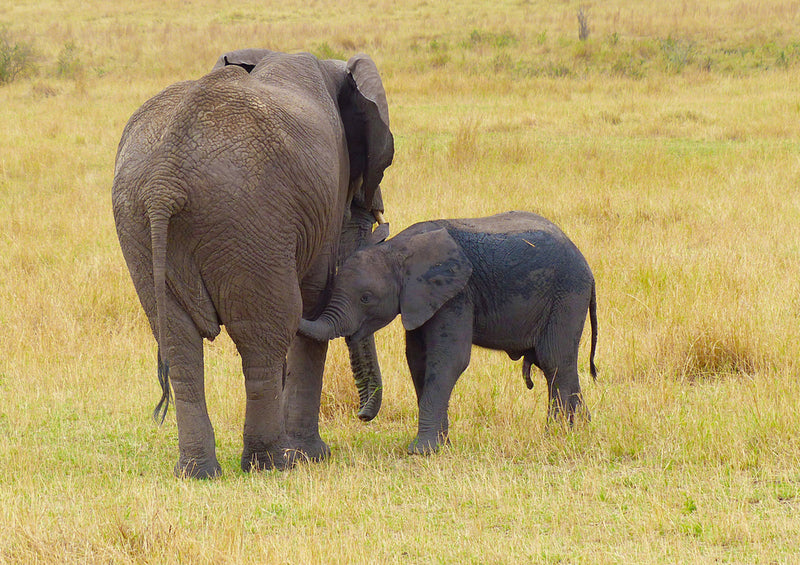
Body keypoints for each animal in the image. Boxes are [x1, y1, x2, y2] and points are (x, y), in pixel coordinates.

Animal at [112, 48, 394, 476]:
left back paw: (198, 472)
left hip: (141, 225)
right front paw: (311, 455)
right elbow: (312, 304)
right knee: (265, 333)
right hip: (249, 217)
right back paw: (272, 464)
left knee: (178, 342)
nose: (364, 416)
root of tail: (165, 180)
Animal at [296, 209, 596, 452]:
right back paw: (576, 431)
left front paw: (422, 451)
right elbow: (418, 360)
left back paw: (562, 435)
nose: (362, 417)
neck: (397, 249)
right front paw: (441, 445)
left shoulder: (457, 294)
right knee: (553, 365)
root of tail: (585, 265)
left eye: (366, 298)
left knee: (554, 361)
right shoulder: (420, 299)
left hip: (567, 294)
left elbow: (449, 360)